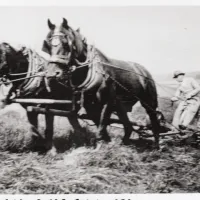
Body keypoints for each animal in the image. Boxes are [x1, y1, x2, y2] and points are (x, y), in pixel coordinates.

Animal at [43, 18, 162, 148]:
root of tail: (144, 71)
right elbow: (101, 126)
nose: (52, 74)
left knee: (154, 120)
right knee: (128, 125)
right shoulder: (90, 106)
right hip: (120, 104)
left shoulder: (107, 102)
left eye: (66, 44)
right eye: (48, 45)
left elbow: (102, 124)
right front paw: (107, 141)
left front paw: (102, 144)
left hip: (149, 101)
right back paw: (125, 143)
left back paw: (157, 146)